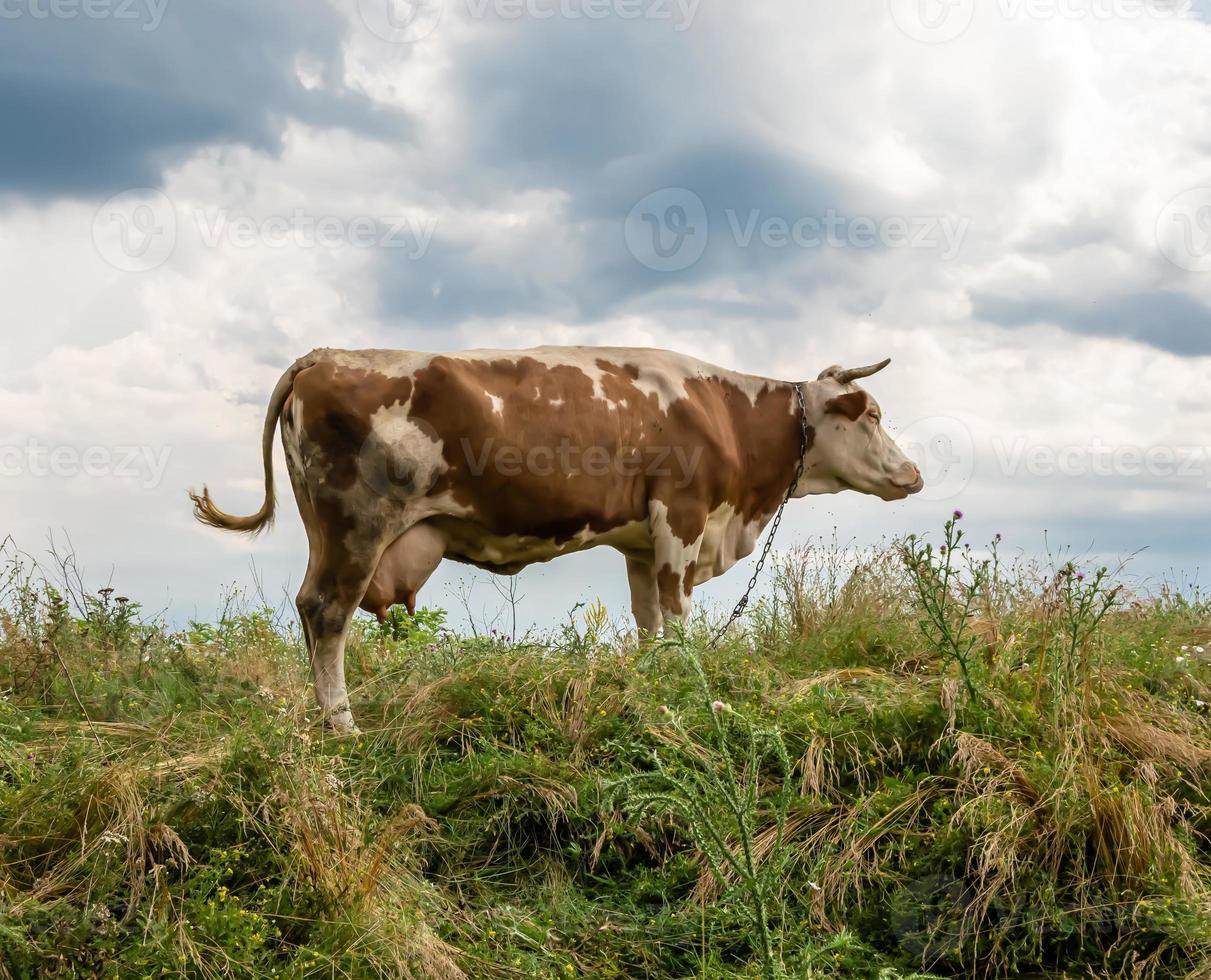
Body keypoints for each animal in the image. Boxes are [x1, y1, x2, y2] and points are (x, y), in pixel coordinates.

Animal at [193, 344, 920, 726]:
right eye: (873, 414)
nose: (913, 473)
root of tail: (324, 357)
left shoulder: (640, 539)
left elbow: (649, 623)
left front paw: (654, 690)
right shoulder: (681, 518)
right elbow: (680, 616)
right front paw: (693, 693)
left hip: (334, 532)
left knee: (314, 611)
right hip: (355, 527)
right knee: (326, 613)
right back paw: (342, 727)